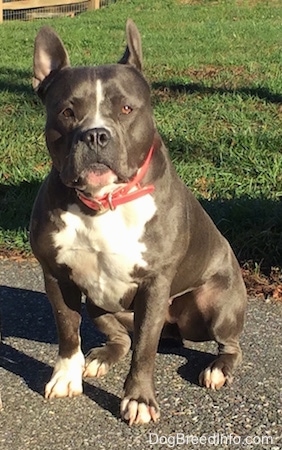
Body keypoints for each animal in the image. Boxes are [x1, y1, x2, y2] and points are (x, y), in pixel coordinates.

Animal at [30, 18, 247, 426]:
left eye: (126, 108)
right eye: (67, 112)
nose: (95, 134)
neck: (102, 203)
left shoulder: (154, 284)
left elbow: (145, 350)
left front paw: (139, 400)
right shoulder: (56, 275)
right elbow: (68, 331)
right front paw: (66, 377)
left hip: (214, 305)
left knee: (228, 343)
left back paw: (217, 368)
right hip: (99, 303)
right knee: (121, 338)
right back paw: (99, 358)